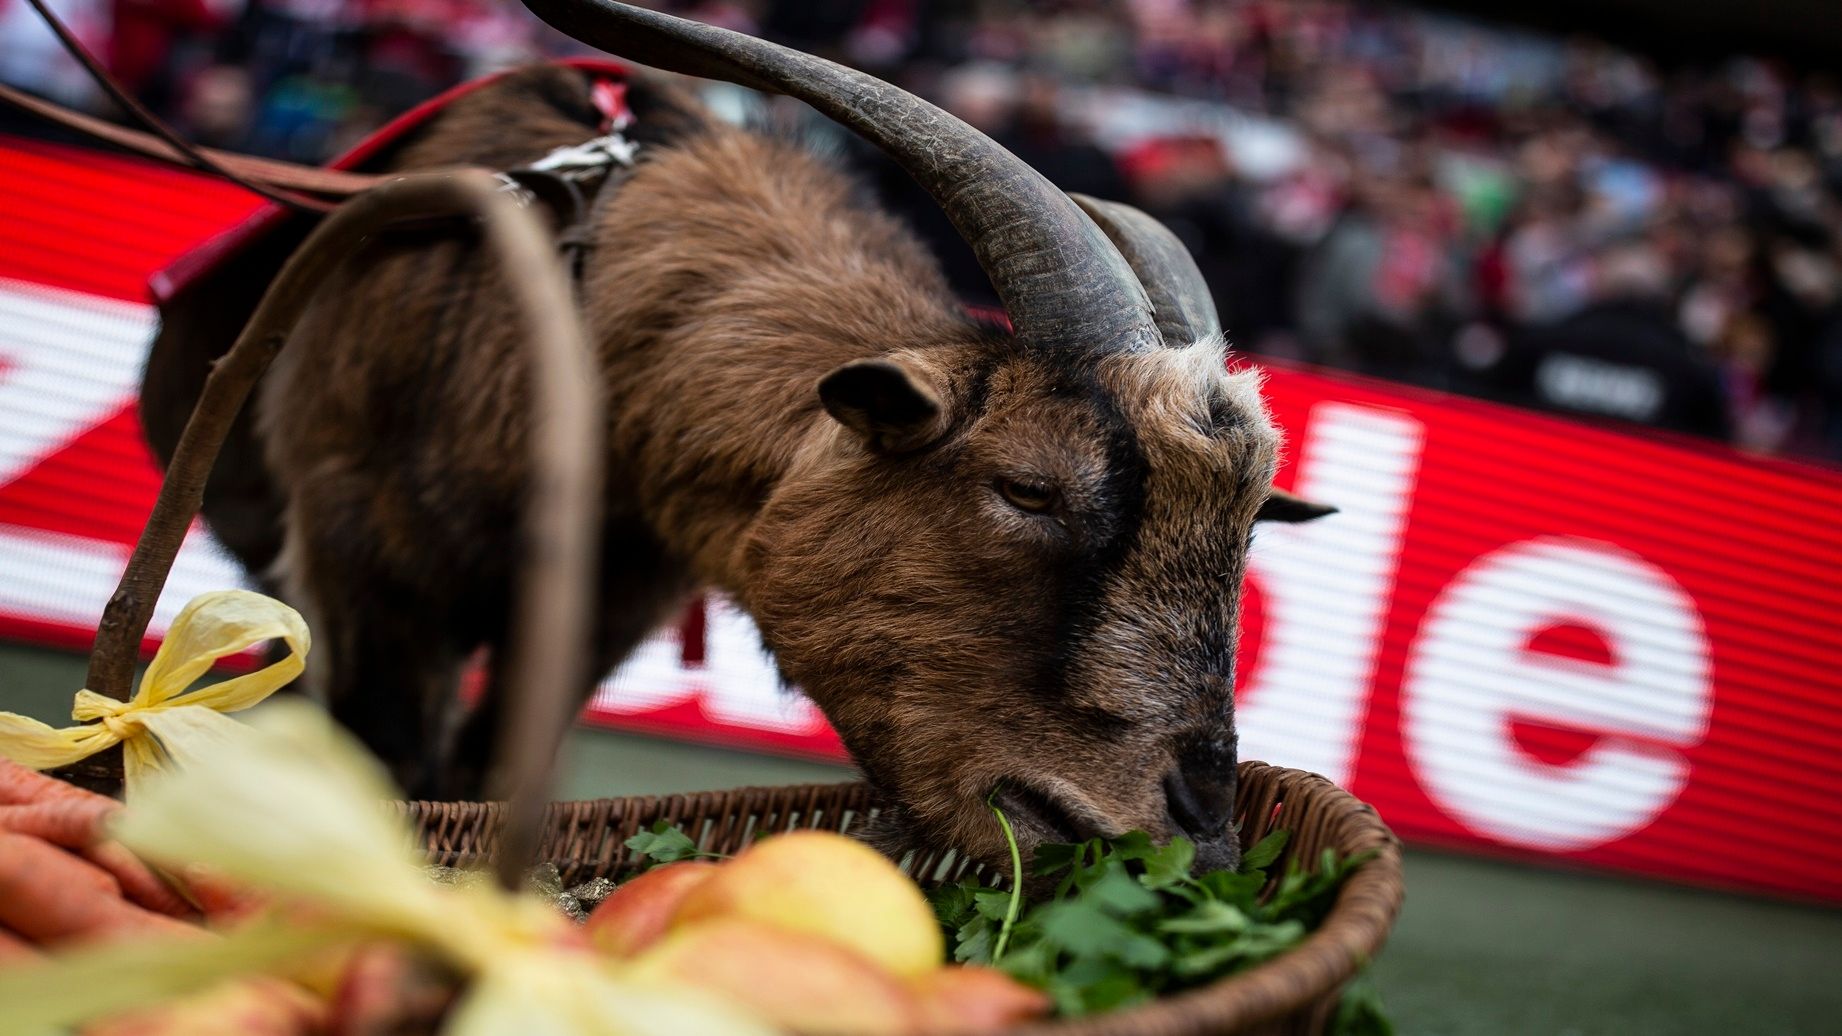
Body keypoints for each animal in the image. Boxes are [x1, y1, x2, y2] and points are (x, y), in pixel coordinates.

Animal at [141, 0, 1332, 872]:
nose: (1202, 833)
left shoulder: (604, 606)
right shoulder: (366, 564)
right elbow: (397, 766)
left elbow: (487, 769)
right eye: (1029, 488)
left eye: (1245, 537)